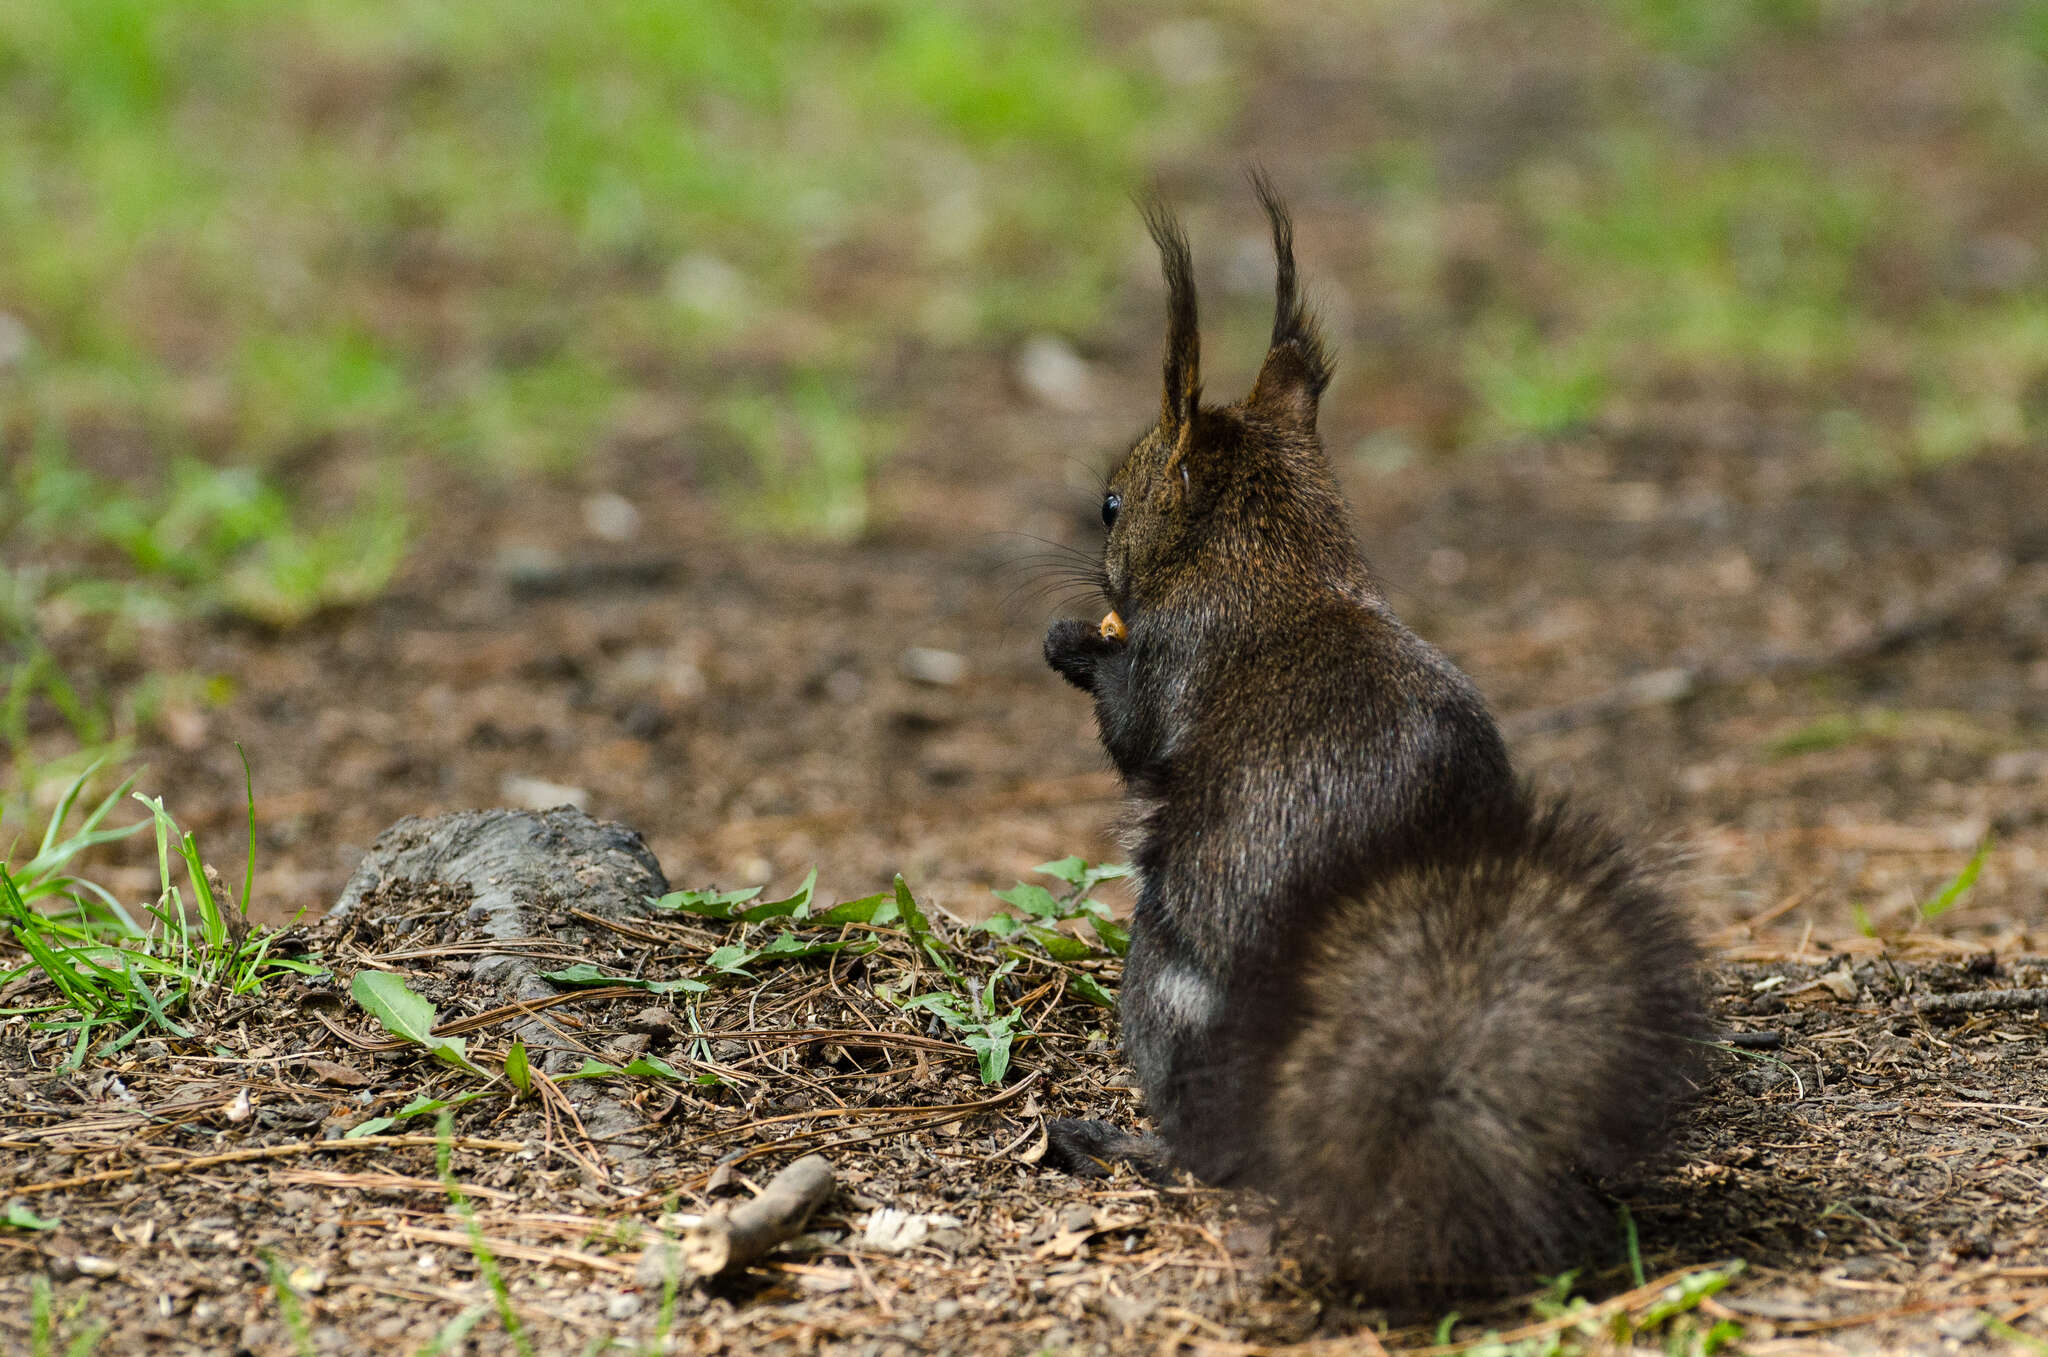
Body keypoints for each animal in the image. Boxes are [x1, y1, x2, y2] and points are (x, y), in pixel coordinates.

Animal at [1048, 180, 1703, 1293]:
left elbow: (1130, 735)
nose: (1093, 578)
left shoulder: (1168, 659)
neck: (1278, 566)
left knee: (1207, 1147)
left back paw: (1119, 1142)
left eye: (1109, 504)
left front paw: (1073, 648)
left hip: (1159, 983)